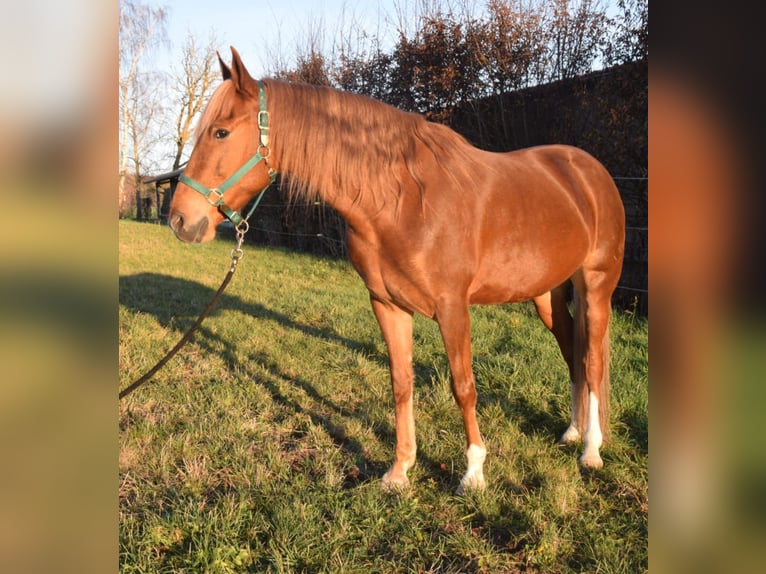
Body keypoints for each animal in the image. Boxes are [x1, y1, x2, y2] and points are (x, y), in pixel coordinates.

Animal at [171, 48, 628, 496]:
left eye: (220, 132)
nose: (180, 220)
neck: (402, 200)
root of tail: (590, 172)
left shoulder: (452, 308)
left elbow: (463, 386)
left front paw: (473, 473)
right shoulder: (388, 305)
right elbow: (401, 383)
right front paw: (400, 470)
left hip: (596, 287)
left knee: (591, 362)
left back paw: (591, 450)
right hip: (546, 295)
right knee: (572, 352)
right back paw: (572, 432)